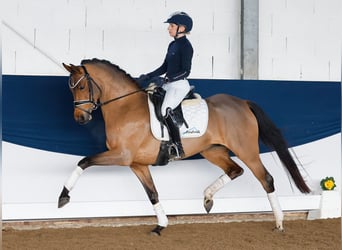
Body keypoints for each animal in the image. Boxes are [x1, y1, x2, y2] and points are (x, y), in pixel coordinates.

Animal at [58, 58, 310, 234]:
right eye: (71, 89)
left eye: (81, 87)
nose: (80, 118)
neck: (125, 107)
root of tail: (242, 102)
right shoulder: (137, 164)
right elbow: (152, 193)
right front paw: (161, 225)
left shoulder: (121, 155)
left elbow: (84, 161)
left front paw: (63, 197)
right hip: (213, 150)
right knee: (235, 170)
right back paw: (207, 198)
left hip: (246, 150)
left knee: (265, 178)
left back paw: (279, 223)